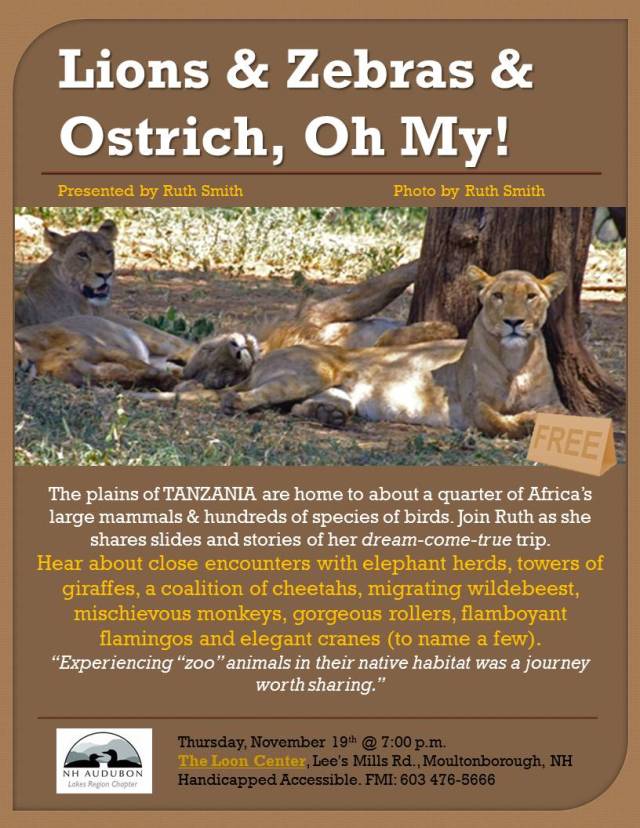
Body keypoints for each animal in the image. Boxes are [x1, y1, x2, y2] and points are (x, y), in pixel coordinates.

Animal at [217, 266, 568, 439]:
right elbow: (500, 423)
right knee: (242, 396)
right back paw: (238, 401)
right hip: (310, 373)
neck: (515, 363)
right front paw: (526, 421)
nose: (514, 322)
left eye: (531, 296)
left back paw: (328, 414)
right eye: (498, 296)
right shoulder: (473, 405)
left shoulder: (554, 399)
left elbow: (556, 412)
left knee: (298, 407)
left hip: (335, 392)